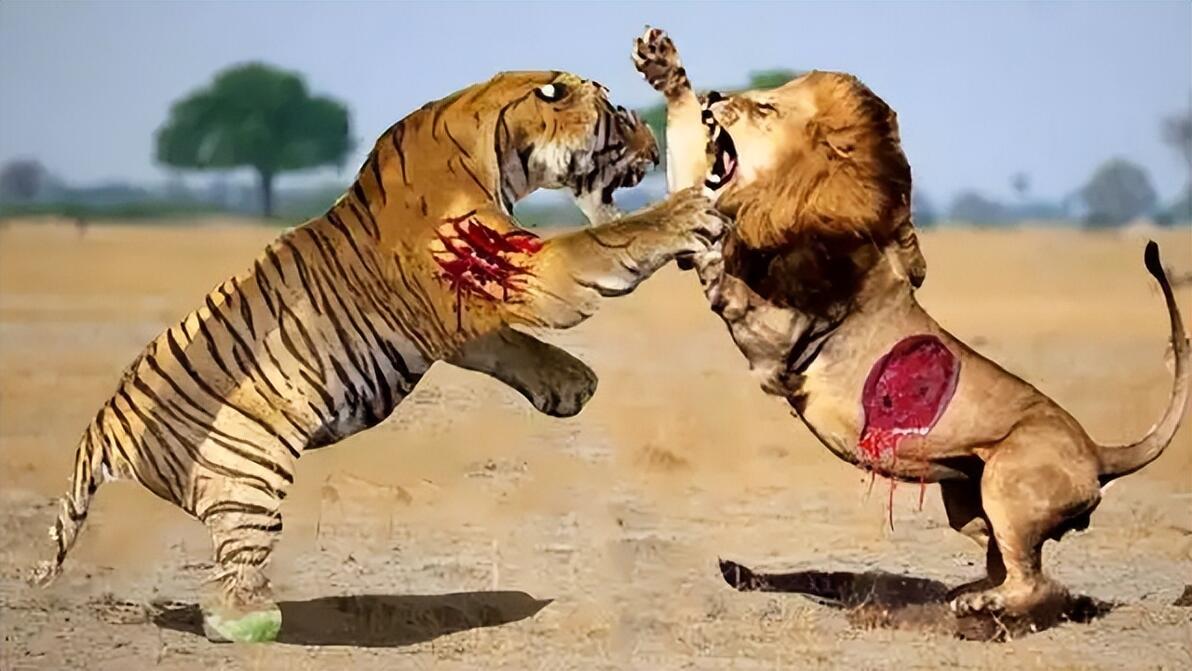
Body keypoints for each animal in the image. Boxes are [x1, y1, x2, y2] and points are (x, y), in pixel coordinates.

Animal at [31, 70, 727, 640]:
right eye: (621, 116)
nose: (657, 151)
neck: (496, 142)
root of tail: (101, 429)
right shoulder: (513, 266)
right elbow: (609, 241)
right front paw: (686, 210)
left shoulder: (460, 315)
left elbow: (512, 347)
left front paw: (571, 383)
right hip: (246, 478)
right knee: (225, 583)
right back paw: (259, 624)